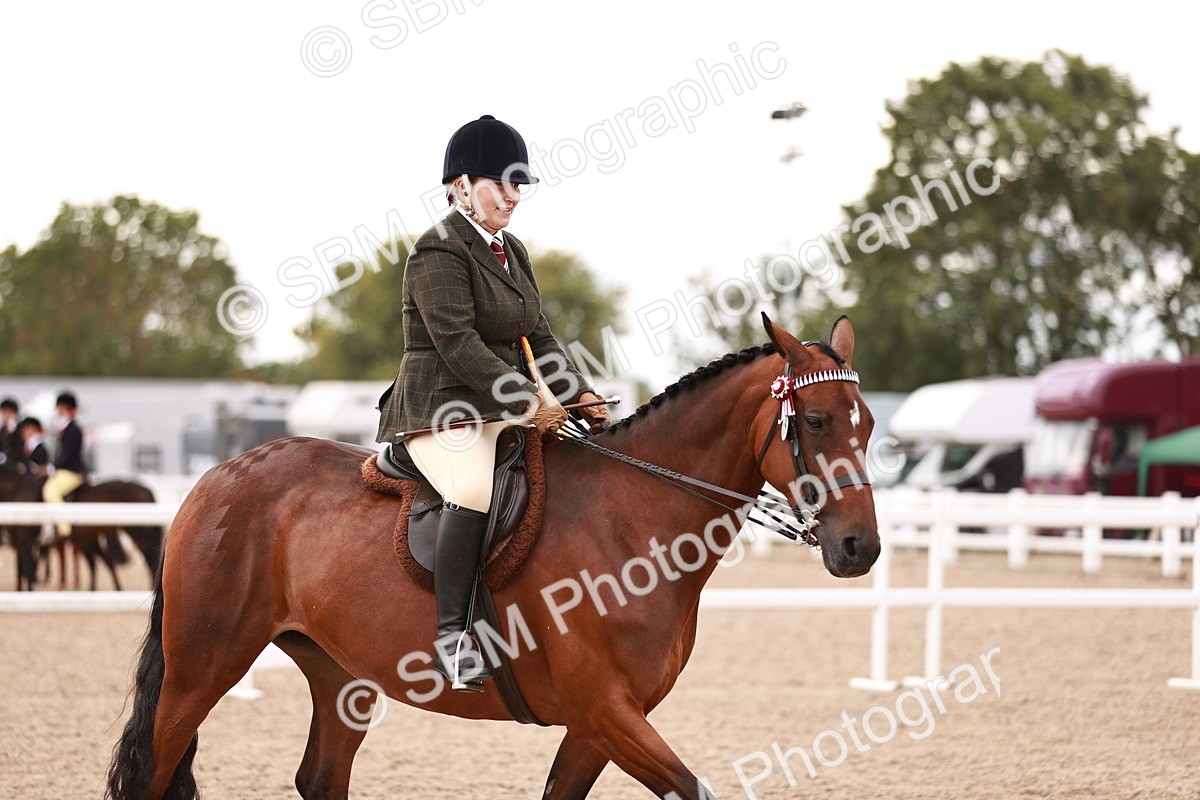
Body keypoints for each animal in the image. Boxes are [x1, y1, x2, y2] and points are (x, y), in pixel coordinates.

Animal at [0, 461, 164, 591]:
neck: (17, 489)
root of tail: (145, 489)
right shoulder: (19, 540)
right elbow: (20, 570)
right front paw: (19, 591)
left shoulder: (26, 539)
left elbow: (27, 569)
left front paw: (28, 592)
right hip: (88, 539)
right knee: (103, 562)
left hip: (138, 535)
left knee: (148, 559)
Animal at [106, 316, 881, 800]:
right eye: (815, 422)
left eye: (868, 425)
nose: (860, 548)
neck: (636, 517)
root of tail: (219, 476)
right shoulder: (607, 712)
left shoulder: (596, 727)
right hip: (201, 670)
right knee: (153, 771)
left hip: (339, 676)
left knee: (320, 779)